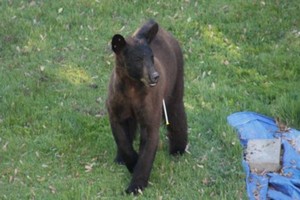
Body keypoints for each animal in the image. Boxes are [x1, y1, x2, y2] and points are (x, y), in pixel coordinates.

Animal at [106, 19, 188, 195]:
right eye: (138, 59)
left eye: (151, 57)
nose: (155, 76)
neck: (131, 89)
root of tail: (164, 32)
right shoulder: (117, 103)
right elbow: (122, 137)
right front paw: (130, 160)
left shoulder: (150, 104)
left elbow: (149, 136)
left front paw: (135, 186)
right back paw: (119, 158)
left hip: (176, 79)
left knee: (176, 110)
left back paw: (178, 150)